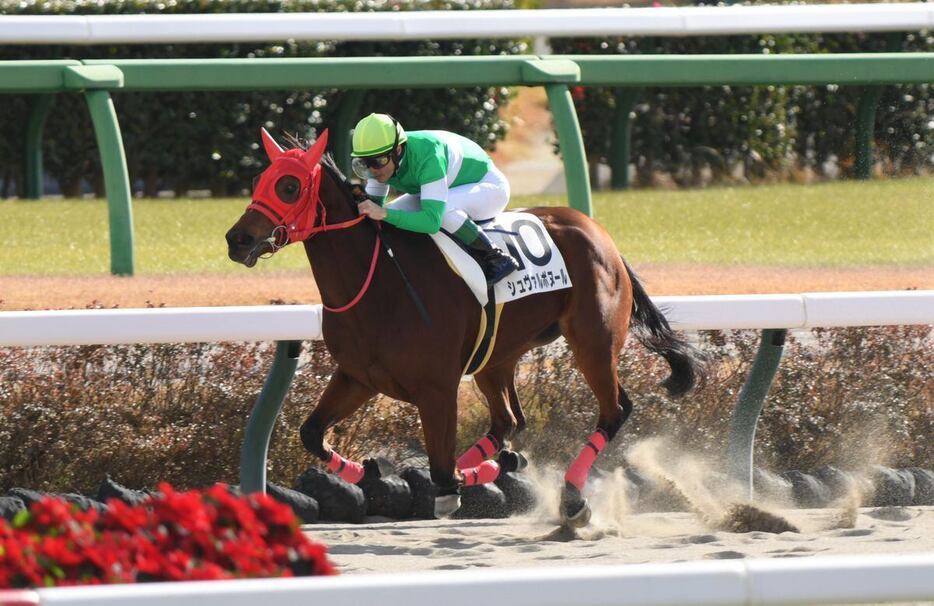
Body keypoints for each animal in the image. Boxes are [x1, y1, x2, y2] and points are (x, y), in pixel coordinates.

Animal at [223, 129, 700, 528]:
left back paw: (570, 497)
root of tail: (602, 236)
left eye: (289, 186)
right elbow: (313, 433)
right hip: (497, 357)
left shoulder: (436, 388)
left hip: (593, 343)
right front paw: (370, 469)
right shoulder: (359, 376)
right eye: (260, 179)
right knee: (507, 421)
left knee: (613, 410)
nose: (236, 239)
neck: (378, 282)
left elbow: (440, 472)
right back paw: (503, 463)